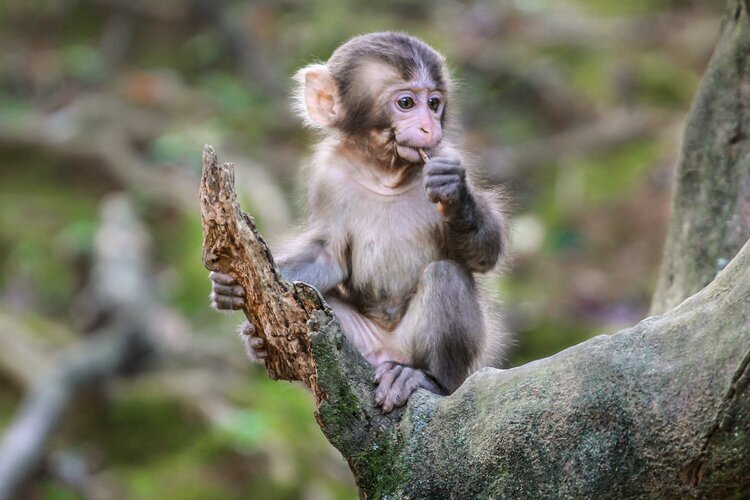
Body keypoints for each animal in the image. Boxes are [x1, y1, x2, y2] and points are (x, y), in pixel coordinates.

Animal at [210, 32, 509, 412]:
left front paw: (455, 193)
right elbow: (328, 258)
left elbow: (486, 255)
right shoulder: (329, 175)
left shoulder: (444, 154)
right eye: (407, 102)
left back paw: (423, 378)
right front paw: (229, 286)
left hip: (424, 356)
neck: (383, 173)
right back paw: (259, 343)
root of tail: (387, 353)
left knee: (446, 276)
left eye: (434, 103)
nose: (429, 127)